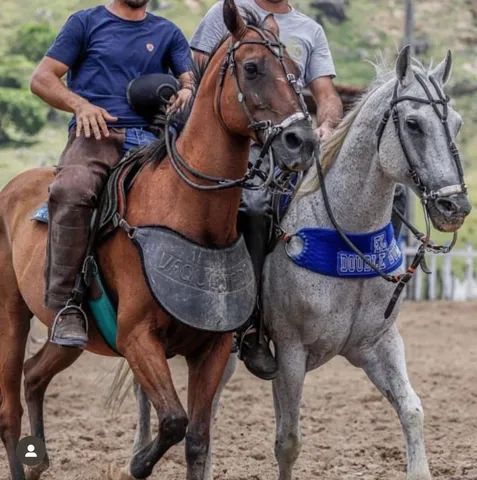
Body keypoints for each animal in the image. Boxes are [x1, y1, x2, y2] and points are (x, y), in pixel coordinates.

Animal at [0, 0, 318, 480]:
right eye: (252, 68)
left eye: (296, 71)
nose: (303, 140)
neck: (190, 216)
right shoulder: (138, 339)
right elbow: (172, 421)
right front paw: (137, 462)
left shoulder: (211, 349)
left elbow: (197, 439)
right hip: (11, 314)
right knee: (9, 411)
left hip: (68, 340)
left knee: (35, 375)